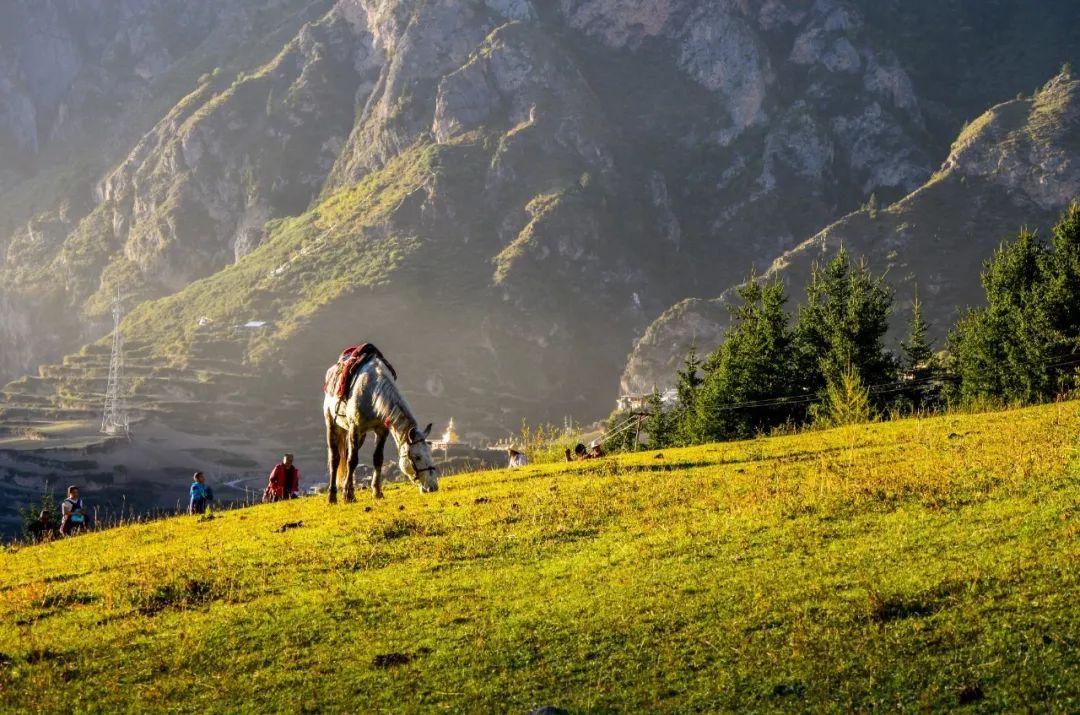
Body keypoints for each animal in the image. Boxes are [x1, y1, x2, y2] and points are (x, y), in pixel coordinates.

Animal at [319, 358, 438, 503]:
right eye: (417, 457)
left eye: (430, 453)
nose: (433, 486)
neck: (372, 393)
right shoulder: (354, 429)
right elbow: (352, 461)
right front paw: (349, 495)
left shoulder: (381, 431)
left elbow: (378, 459)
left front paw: (377, 492)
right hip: (332, 424)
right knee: (335, 459)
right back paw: (332, 496)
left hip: (361, 436)